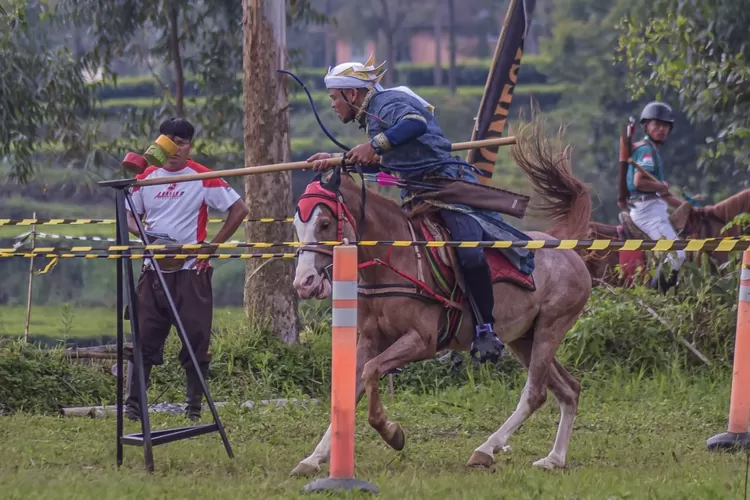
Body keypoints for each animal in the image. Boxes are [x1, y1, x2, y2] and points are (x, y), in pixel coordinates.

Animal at [290, 122, 596, 476]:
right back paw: (554, 458)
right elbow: (350, 388)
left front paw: (391, 432)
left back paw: (486, 449)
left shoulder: (422, 341)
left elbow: (371, 371)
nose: (304, 283)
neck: (393, 258)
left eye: (325, 223)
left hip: (551, 326)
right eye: (297, 225)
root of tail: (565, 246)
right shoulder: (368, 339)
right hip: (523, 337)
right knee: (568, 389)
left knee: (535, 393)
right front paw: (314, 457)